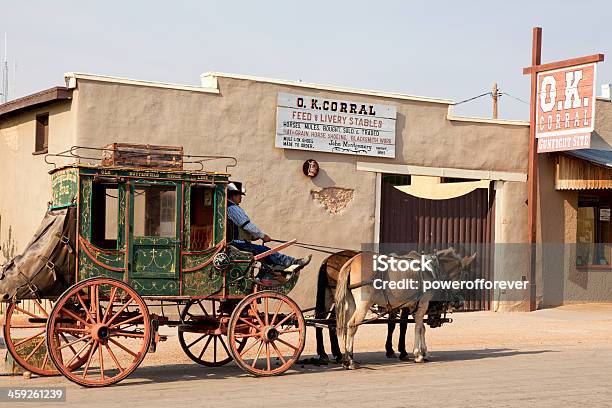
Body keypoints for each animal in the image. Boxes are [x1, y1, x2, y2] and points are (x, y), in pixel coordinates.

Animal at [334, 249, 474, 370]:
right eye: (463, 275)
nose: (460, 302)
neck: (432, 269)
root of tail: (352, 261)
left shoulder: (414, 306)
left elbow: (421, 328)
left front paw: (424, 352)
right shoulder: (423, 304)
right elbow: (418, 328)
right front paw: (418, 355)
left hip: (352, 304)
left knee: (346, 325)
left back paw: (346, 359)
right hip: (364, 304)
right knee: (352, 325)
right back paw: (350, 360)